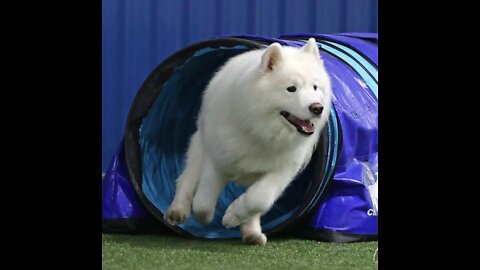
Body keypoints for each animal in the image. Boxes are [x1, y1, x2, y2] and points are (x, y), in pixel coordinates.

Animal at [164, 37, 330, 246]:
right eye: (291, 89)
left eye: (315, 87)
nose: (317, 108)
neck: (261, 131)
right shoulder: (217, 160)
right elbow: (203, 201)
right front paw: (206, 217)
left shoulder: (282, 169)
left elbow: (259, 199)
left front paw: (232, 216)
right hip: (199, 146)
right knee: (186, 179)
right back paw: (178, 211)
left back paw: (251, 232)